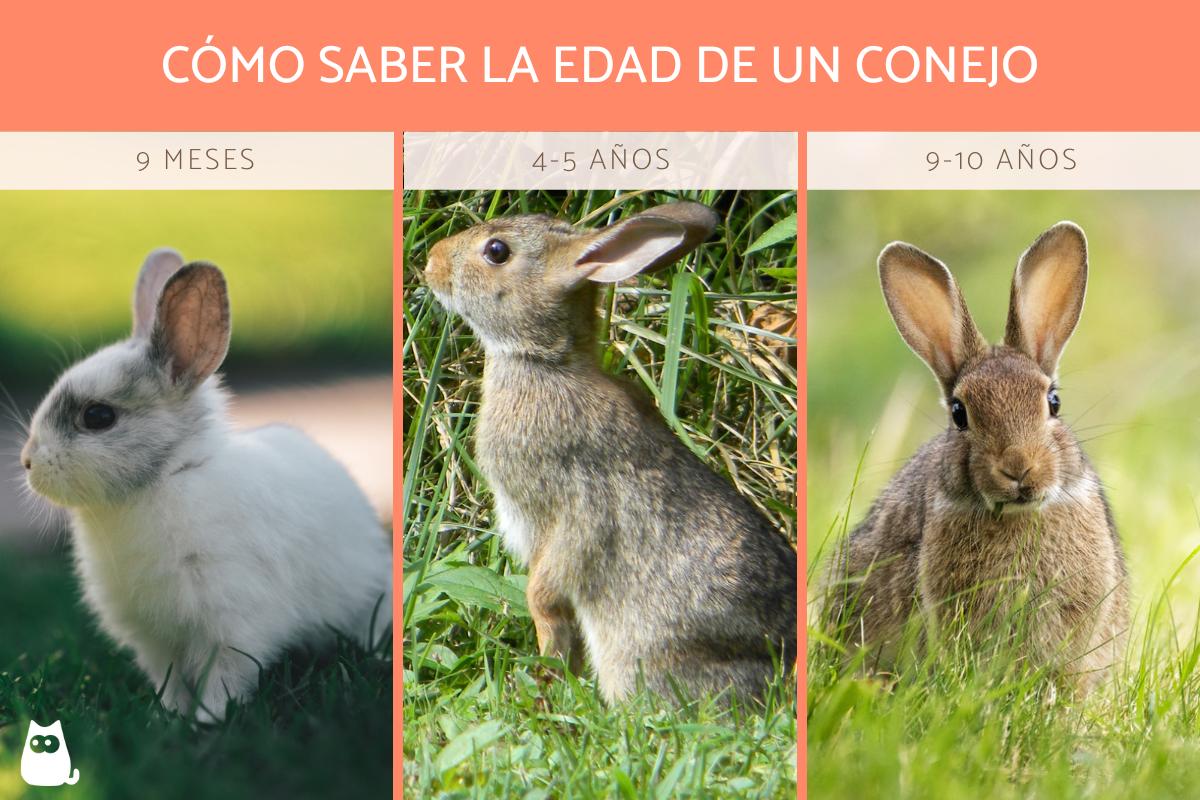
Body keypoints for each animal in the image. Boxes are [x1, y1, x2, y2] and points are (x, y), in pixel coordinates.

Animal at [20, 249, 392, 722]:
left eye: (98, 417)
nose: (27, 462)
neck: (166, 477)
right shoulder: (155, 639)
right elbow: (170, 679)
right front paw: (169, 717)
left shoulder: (231, 624)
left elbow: (224, 678)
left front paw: (208, 720)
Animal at [422, 200, 797, 704]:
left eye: (497, 251)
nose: (431, 263)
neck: (545, 363)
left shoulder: (576, 508)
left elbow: (547, 595)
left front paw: (549, 677)